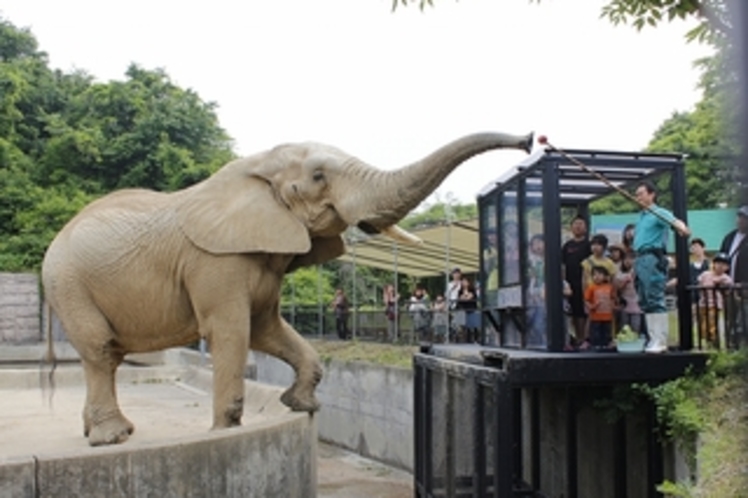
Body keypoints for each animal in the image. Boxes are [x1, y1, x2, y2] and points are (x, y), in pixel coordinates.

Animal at [42, 130, 532, 446]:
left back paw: (98, 432)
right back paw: (111, 438)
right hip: (68, 282)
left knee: (106, 356)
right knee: (100, 349)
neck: (254, 168)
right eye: (318, 177)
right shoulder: (214, 262)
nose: (530, 138)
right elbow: (231, 332)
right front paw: (224, 433)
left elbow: (267, 330)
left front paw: (299, 404)